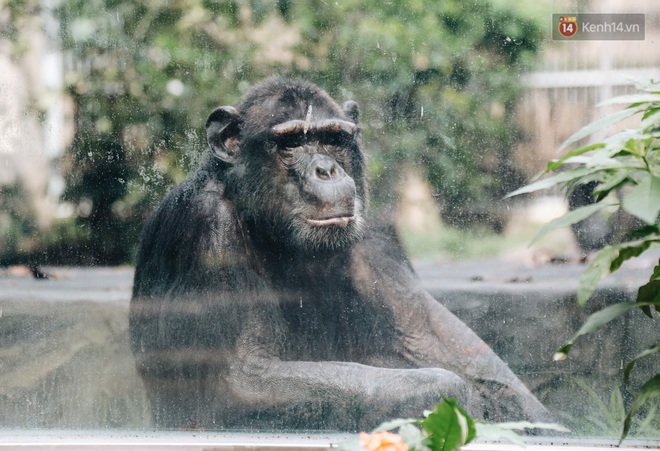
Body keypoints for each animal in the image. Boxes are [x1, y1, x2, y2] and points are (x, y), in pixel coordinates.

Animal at [130, 77, 552, 430]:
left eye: (333, 139)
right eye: (291, 143)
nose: (326, 170)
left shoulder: (376, 240)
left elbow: (451, 354)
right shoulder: (206, 231)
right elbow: (241, 380)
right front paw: (451, 396)